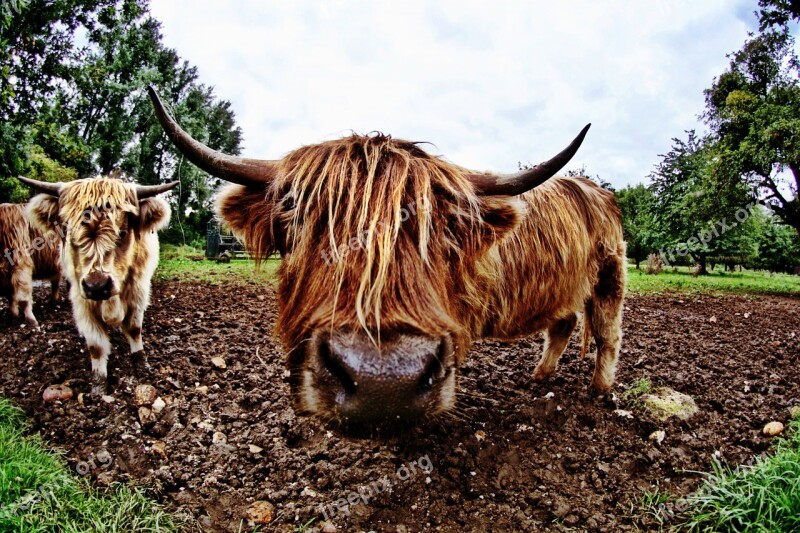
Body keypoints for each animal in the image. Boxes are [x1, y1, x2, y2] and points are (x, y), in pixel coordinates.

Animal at [14, 177, 177, 392]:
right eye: (69, 233)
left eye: (122, 233)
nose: (97, 286)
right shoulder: (83, 301)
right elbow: (96, 346)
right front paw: (98, 384)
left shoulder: (138, 293)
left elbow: (134, 330)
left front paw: (141, 364)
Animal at [148, 87, 624, 422]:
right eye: (300, 216)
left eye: (443, 228)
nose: (384, 381)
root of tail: (595, 190)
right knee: (562, 323)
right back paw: (540, 375)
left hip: (610, 277)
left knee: (607, 332)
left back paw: (599, 390)